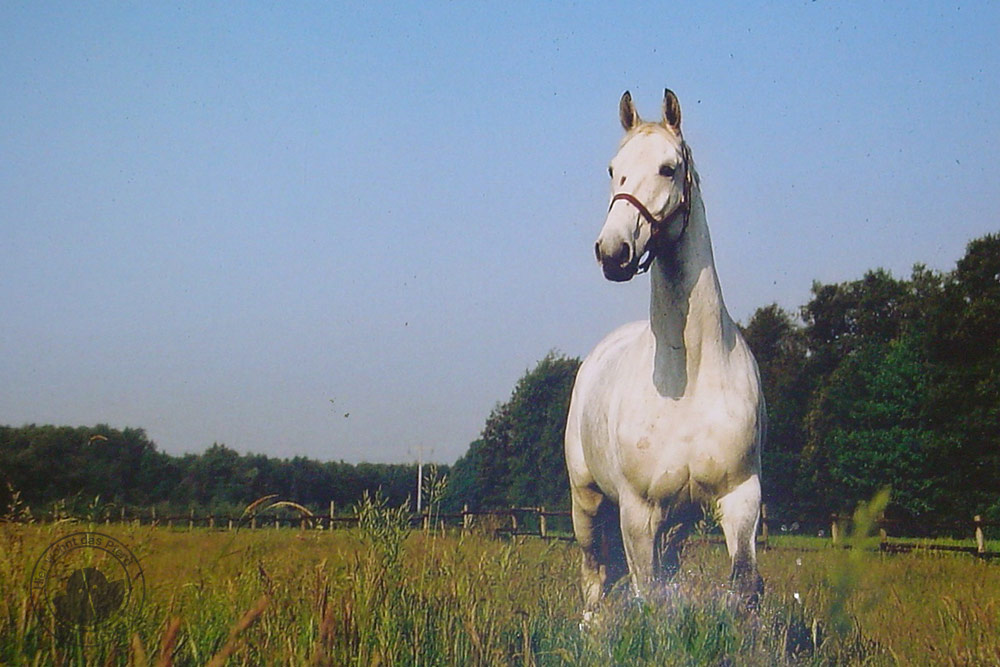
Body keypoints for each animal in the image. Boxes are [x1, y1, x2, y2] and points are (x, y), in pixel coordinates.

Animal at [564, 90, 764, 616]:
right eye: (613, 169)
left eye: (668, 168)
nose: (613, 252)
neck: (688, 379)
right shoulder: (638, 512)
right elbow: (647, 595)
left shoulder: (740, 496)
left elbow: (745, 583)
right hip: (586, 502)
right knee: (592, 581)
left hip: (678, 522)